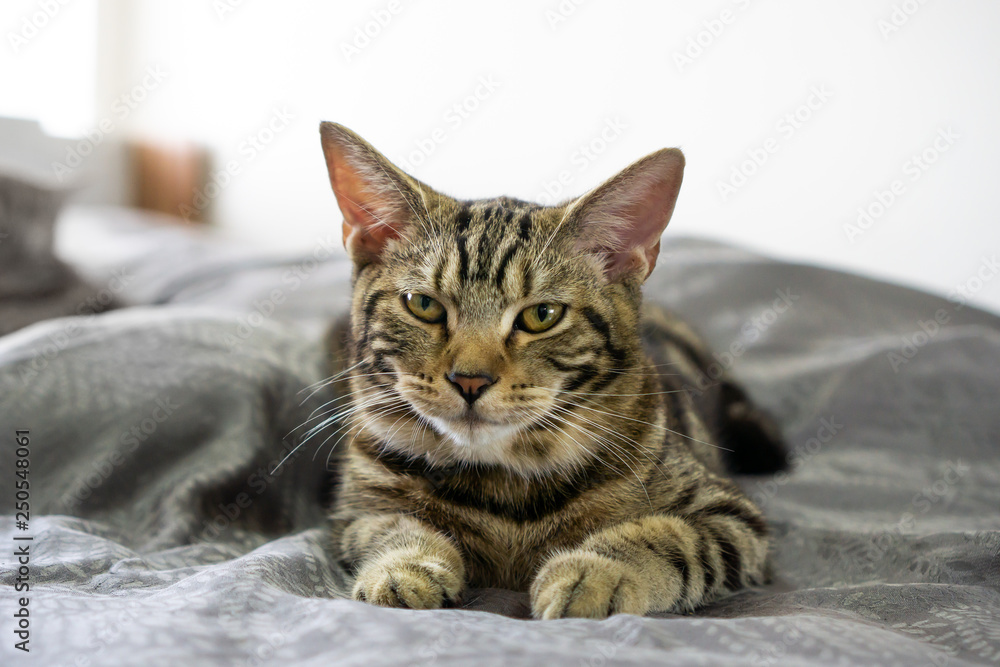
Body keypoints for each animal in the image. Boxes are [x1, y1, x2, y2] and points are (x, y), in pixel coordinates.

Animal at [316, 121, 784, 620]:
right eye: (423, 305)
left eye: (542, 315)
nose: (470, 380)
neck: (503, 482)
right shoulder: (355, 510)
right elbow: (389, 526)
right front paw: (405, 565)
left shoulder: (729, 516)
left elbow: (668, 540)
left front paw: (597, 573)